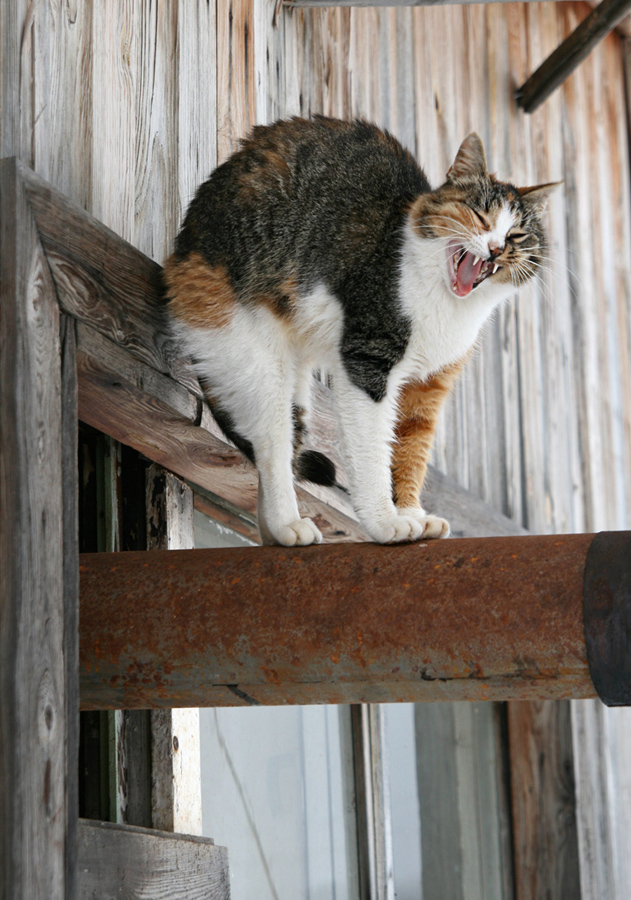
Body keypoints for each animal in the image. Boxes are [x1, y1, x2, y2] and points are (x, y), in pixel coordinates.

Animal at [164, 115, 556, 544]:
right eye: (480, 216)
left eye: (517, 236)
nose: (497, 248)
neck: (450, 305)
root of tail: (182, 245)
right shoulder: (368, 360)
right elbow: (372, 450)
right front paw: (386, 522)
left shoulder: (429, 384)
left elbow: (411, 448)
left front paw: (413, 513)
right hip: (250, 347)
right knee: (272, 443)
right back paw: (287, 524)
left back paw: (272, 536)